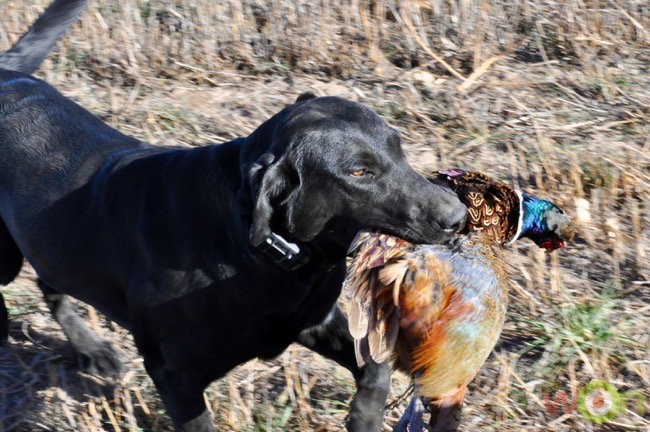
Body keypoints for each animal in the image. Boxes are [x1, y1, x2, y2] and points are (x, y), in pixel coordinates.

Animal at [1, 1, 466, 430]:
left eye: (398, 146)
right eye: (359, 172)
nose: (458, 216)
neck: (262, 254)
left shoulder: (312, 320)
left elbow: (376, 368)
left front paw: (364, 418)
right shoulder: (175, 376)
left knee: (50, 282)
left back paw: (89, 349)